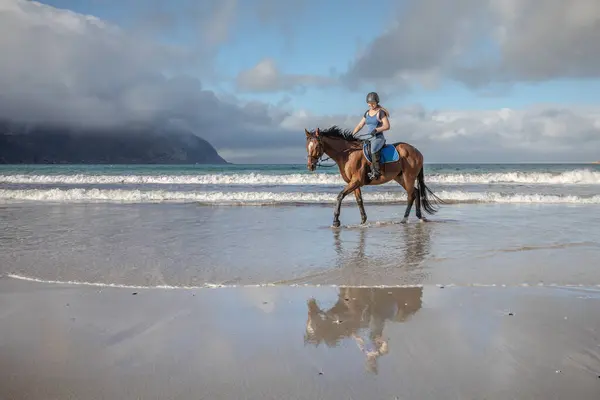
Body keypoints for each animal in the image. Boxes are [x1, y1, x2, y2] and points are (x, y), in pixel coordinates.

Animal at [304, 125, 440, 227]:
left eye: (317, 146)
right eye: (307, 147)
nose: (310, 166)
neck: (347, 154)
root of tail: (417, 151)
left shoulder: (356, 181)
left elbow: (340, 196)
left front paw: (336, 221)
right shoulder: (354, 183)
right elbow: (359, 200)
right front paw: (363, 220)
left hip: (408, 177)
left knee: (411, 195)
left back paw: (404, 219)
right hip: (400, 178)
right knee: (415, 192)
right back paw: (419, 216)